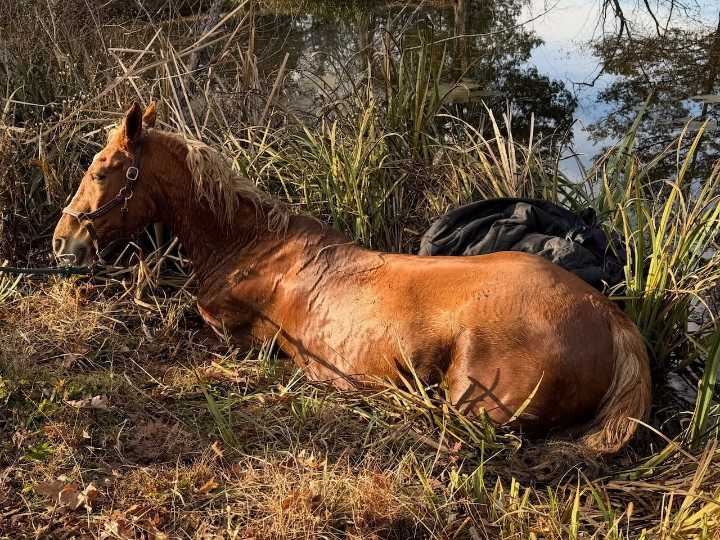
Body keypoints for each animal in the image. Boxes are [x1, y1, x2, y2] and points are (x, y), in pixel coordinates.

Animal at [53, 102, 652, 454]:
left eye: (101, 171)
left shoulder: (226, 328)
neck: (254, 244)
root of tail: (613, 320)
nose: (63, 242)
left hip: (473, 406)